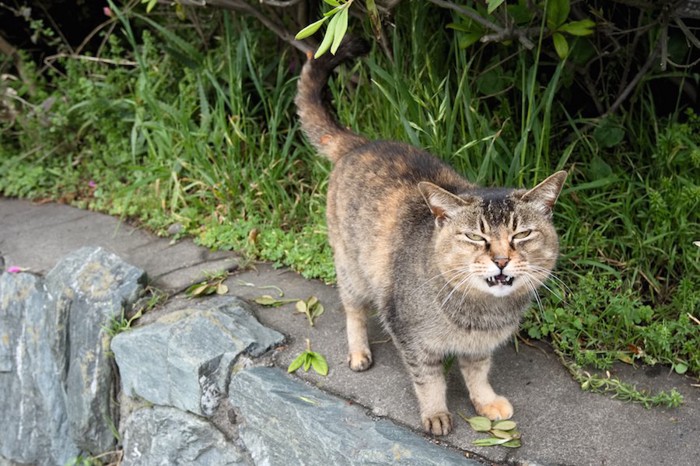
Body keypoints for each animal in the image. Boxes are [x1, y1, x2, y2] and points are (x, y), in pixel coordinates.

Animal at [292, 37, 568, 436]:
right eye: (476, 237)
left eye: (522, 234)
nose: (501, 259)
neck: (482, 315)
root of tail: (360, 142)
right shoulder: (411, 337)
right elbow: (429, 380)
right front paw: (436, 413)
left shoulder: (478, 348)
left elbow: (478, 373)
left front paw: (486, 402)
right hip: (351, 269)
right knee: (352, 310)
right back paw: (359, 352)